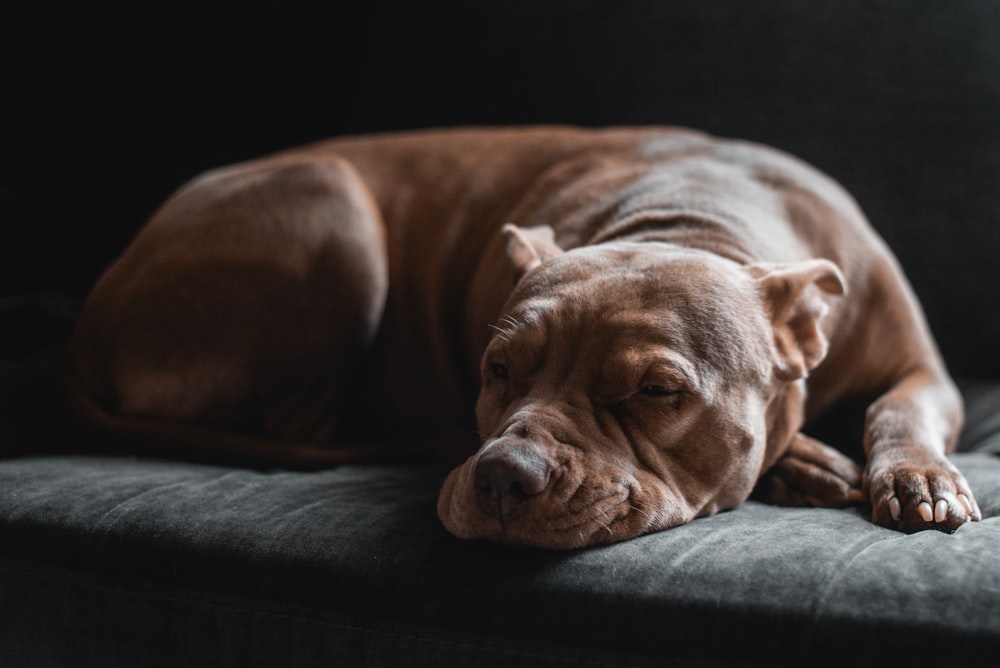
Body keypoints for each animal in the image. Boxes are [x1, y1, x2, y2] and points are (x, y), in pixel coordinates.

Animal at [66, 125, 980, 548]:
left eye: (658, 391)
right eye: (498, 369)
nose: (501, 475)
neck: (691, 216)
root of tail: (88, 329)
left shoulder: (924, 371)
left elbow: (898, 412)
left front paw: (917, 480)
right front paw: (800, 462)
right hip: (332, 207)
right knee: (304, 421)